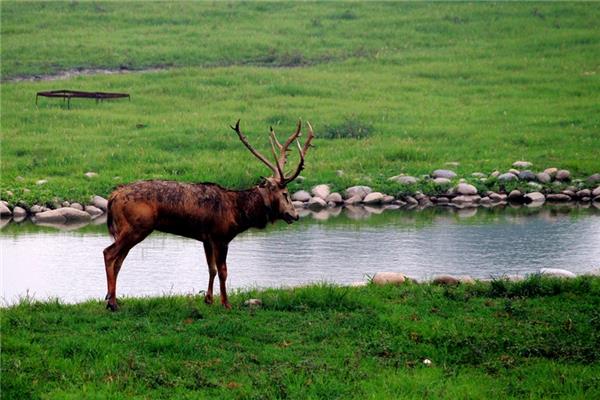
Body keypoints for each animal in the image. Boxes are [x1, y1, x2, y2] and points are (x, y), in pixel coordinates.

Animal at [102, 120, 314, 310]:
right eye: (285, 193)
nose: (295, 215)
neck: (238, 213)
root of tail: (112, 197)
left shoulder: (206, 238)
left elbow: (211, 268)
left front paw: (209, 299)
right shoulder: (221, 236)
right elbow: (223, 271)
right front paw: (226, 303)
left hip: (128, 230)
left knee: (119, 260)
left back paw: (113, 299)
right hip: (136, 227)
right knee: (109, 253)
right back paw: (111, 303)